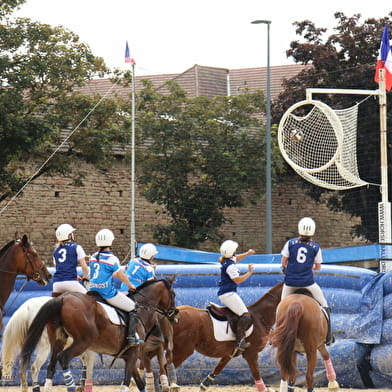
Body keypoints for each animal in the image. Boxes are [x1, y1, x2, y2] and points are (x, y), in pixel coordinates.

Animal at [19, 278, 176, 392]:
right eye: (173, 294)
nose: (175, 314)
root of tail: (63, 298)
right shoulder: (134, 352)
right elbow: (126, 383)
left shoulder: (129, 356)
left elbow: (140, 383)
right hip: (82, 342)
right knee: (63, 358)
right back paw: (71, 387)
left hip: (58, 341)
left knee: (51, 367)